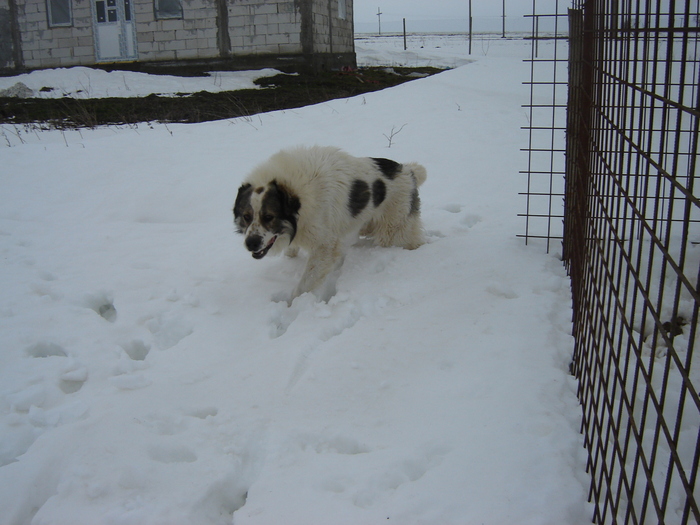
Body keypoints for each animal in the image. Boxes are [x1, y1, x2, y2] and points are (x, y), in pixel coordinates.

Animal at [234, 145, 426, 300]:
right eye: (246, 216)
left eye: (268, 217)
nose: (251, 243)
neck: (297, 197)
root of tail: (407, 170)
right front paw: (291, 254)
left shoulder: (324, 245)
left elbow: (306, 281)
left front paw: (292, 303)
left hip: (393, 228)